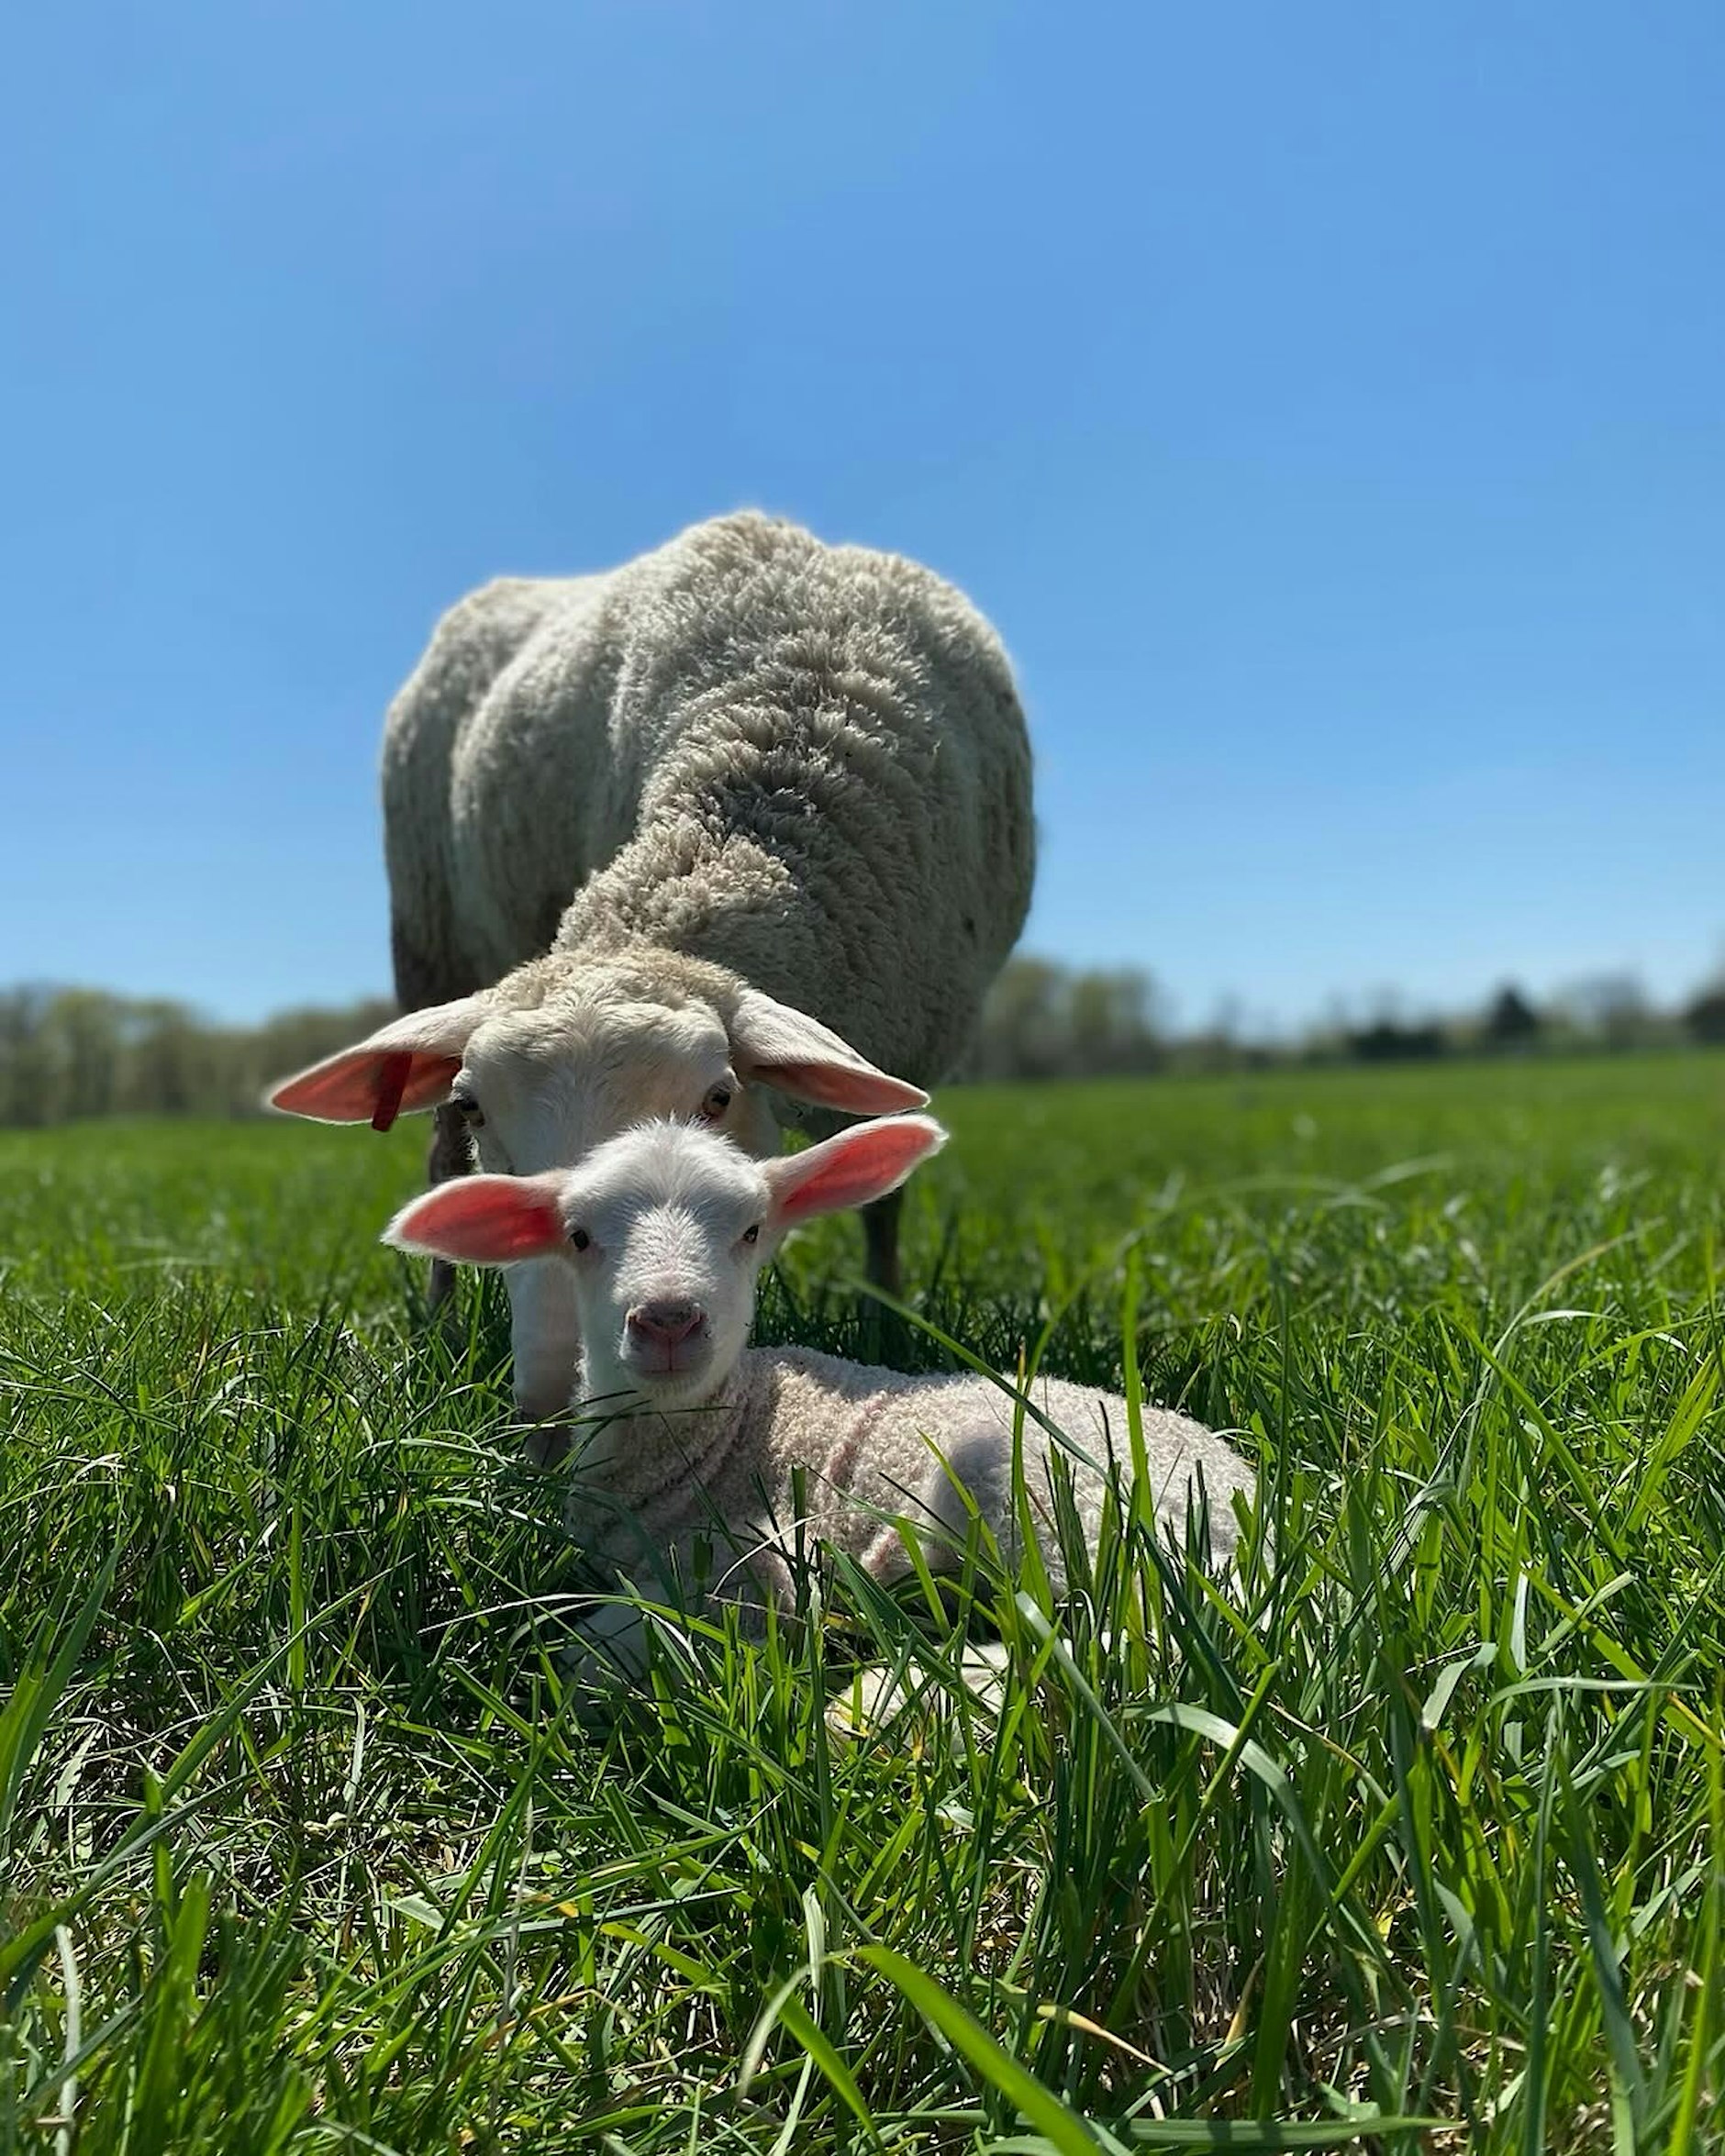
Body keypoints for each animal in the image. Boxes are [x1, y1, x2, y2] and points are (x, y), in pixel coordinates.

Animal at [270, 510, 1035, 1461]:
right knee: (437, 1163)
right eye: (480, 1104)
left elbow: (884, 1203)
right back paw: (443, 1326)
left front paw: (887, 1323)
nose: (556, 1412)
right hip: (430, 935)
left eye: (718, 1098)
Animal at [382, 1113, 1257, 1700]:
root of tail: (1245, 1509)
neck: (726, 1429)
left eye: (751, 1230)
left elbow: (606, 1648)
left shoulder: (764, 1553)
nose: (667, 1320)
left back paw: (881, 1705)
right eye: (579, 1236)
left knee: (1115, 1648)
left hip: (1044, 1496)